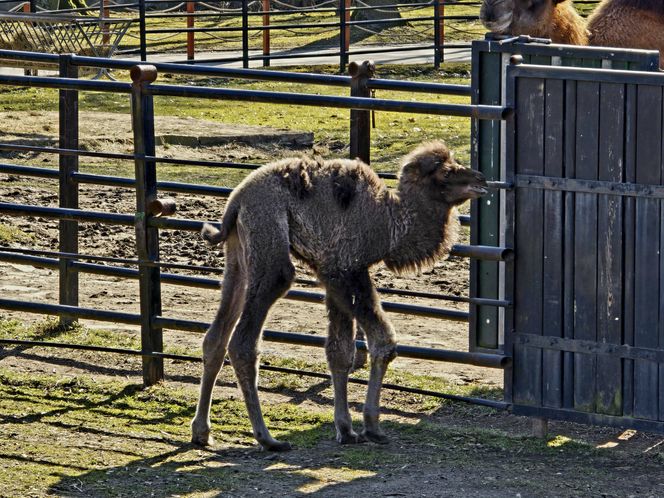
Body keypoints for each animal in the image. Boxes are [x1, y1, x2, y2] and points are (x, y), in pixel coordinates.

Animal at [192, 141, 488, 452]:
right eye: (445, 172)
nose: (481, 179)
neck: (389, 222)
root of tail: (235, 202)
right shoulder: (347, 269)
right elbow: (383, 342)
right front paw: (372, 426)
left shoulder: (331, 273)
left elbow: (340, 351)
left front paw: (345, 429)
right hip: (268, 235)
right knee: (244, 339)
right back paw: (267, 438)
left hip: (237, 253)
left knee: (216, 336)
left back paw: (202, 432)